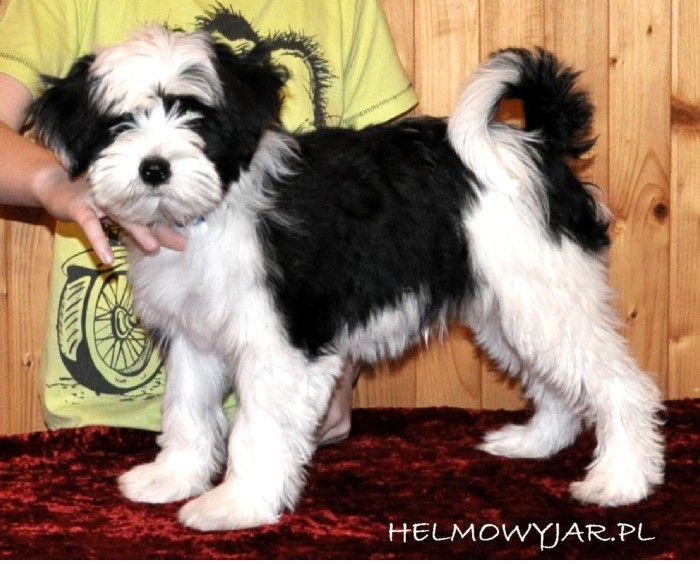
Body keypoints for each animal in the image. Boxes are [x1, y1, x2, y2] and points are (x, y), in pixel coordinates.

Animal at [33, 26, 664, 531]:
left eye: (195, 117)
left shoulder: (280, 347)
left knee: (620, 385)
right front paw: (174, 478)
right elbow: (186, 411)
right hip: (509, 307)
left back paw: (622, 480)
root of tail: (535, 143)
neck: (215, 209)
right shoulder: (194, 337)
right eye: (119, 123)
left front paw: (236, 505)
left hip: (545, 295)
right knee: (557, 381)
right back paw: (535, 443)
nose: (154, 167)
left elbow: (257, 431)